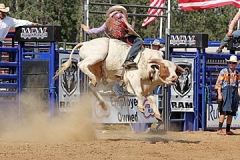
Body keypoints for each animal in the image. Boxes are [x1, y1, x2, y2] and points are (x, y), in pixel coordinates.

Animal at [54, 37, 185, 120]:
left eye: (175, 70)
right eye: (165, 68)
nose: (174, 78)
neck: (149, 65)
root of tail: (85, 43)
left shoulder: (148, 88)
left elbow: (152, 99)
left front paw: (158, 116)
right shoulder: (133, 78)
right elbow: (138, 92)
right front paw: (141, 108)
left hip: (97, 69)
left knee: (92, 86)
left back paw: (103, 104)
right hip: (97, 56)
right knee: (81, 65)